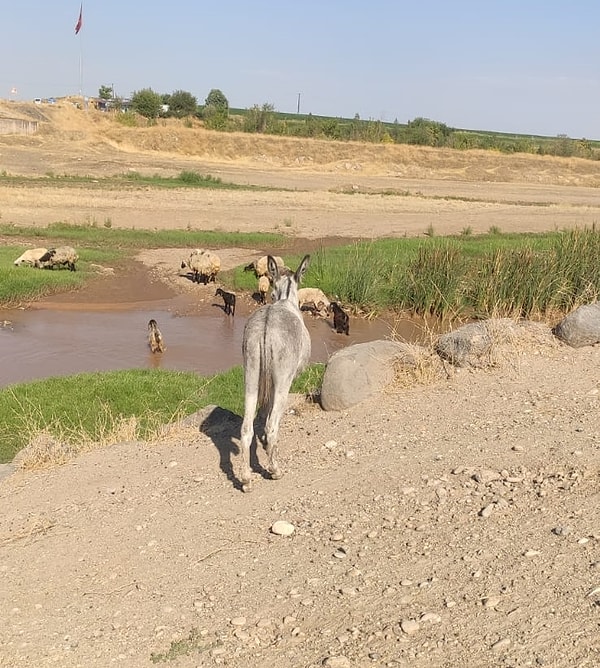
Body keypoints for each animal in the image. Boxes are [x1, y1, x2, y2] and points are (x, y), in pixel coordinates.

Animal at [238, 252, 310, 490]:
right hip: (282, 381)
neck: (285, 300)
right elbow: (270, 414)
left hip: (250, 374)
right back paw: (275, 470)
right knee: (271, 426)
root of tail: (266, 327)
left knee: (246, 428)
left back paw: (246, 479)